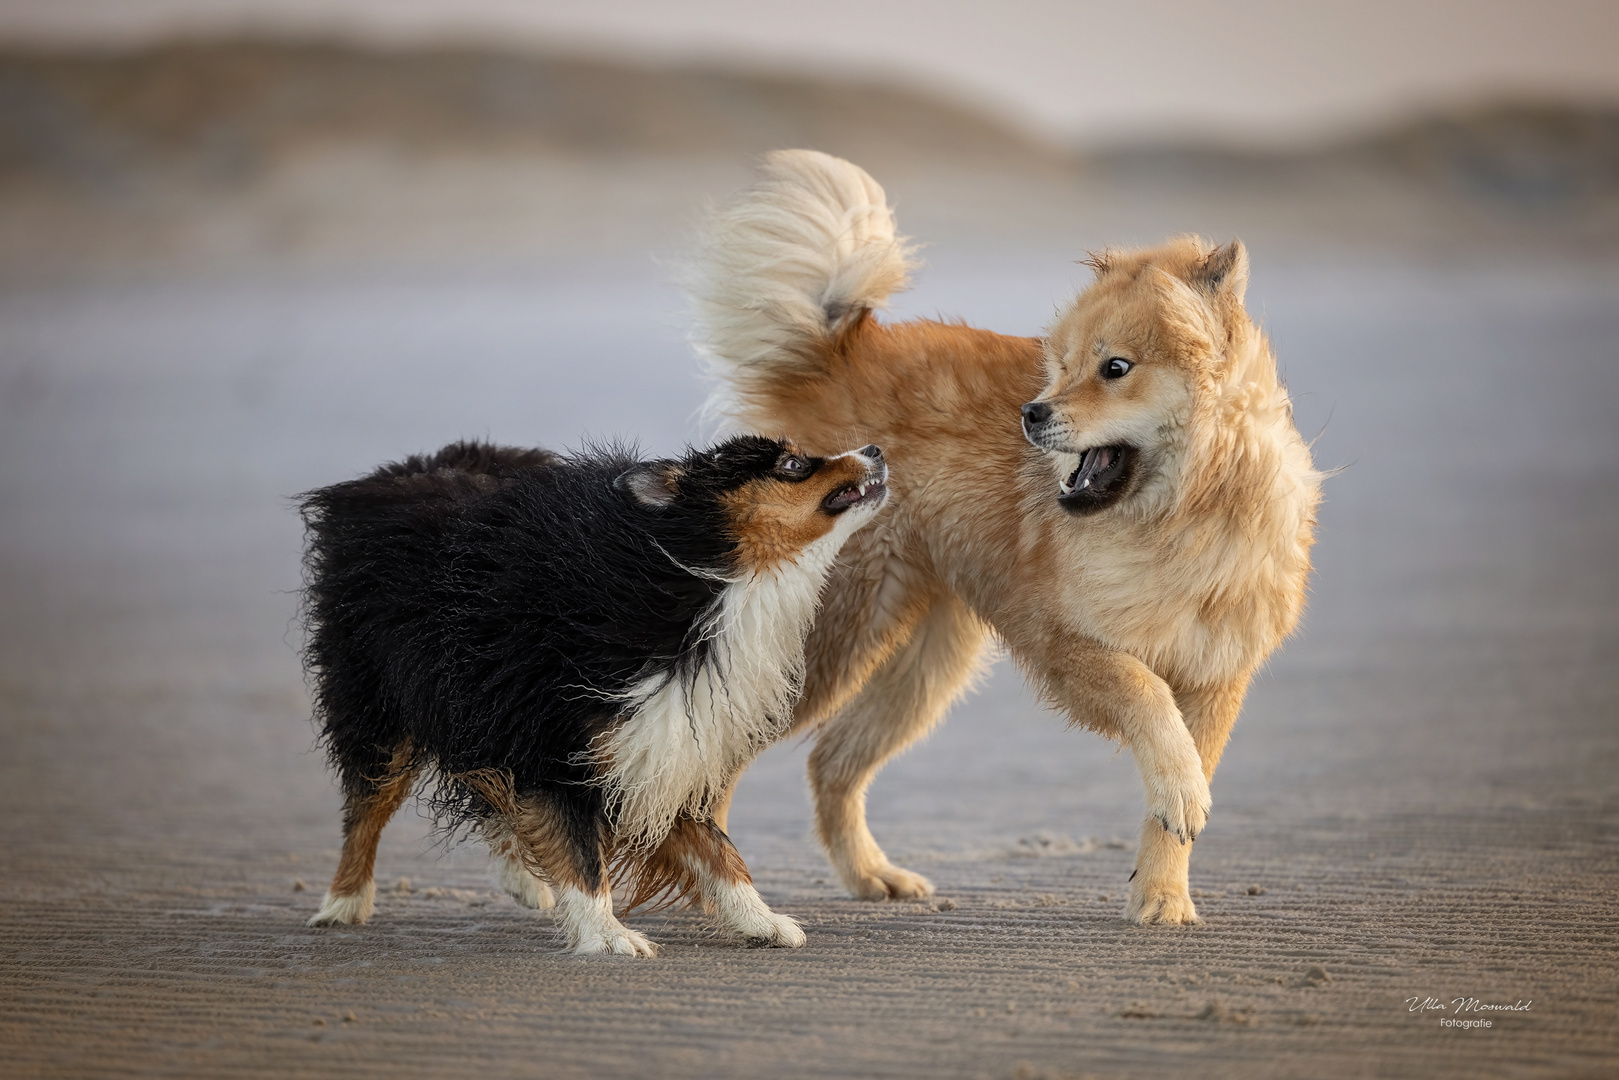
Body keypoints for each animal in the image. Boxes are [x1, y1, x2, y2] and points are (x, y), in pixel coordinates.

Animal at [689, 152, 1321, 926]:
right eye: (1061, 365)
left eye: (1115, 368)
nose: (1031, 412)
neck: (1181, 517)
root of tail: (838, 352)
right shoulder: (1065, 641)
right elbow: (1147, 700)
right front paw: (1178, 798)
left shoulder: (1214, 672)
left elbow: (1173, 792)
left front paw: (1162, 895)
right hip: (827, 643)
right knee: (718, 756)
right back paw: (722, 893)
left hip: (925, 659)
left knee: (831, 760)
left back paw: (872, 875)